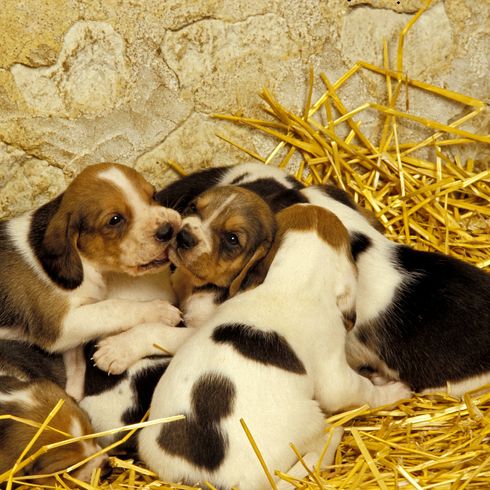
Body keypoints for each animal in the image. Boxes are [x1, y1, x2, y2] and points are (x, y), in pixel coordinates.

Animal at [91, 185, 276, 376]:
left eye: (232, 238)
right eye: (193, 207)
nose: (183, 236)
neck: (192, 284)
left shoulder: (196, 331)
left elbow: (158, 331)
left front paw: (118, 349)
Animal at [138, 204, 410, 490]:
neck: (293, 280)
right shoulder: (334, 373)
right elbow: (361, 391)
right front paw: (393, 391)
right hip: (309, 416)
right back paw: (332, 437)